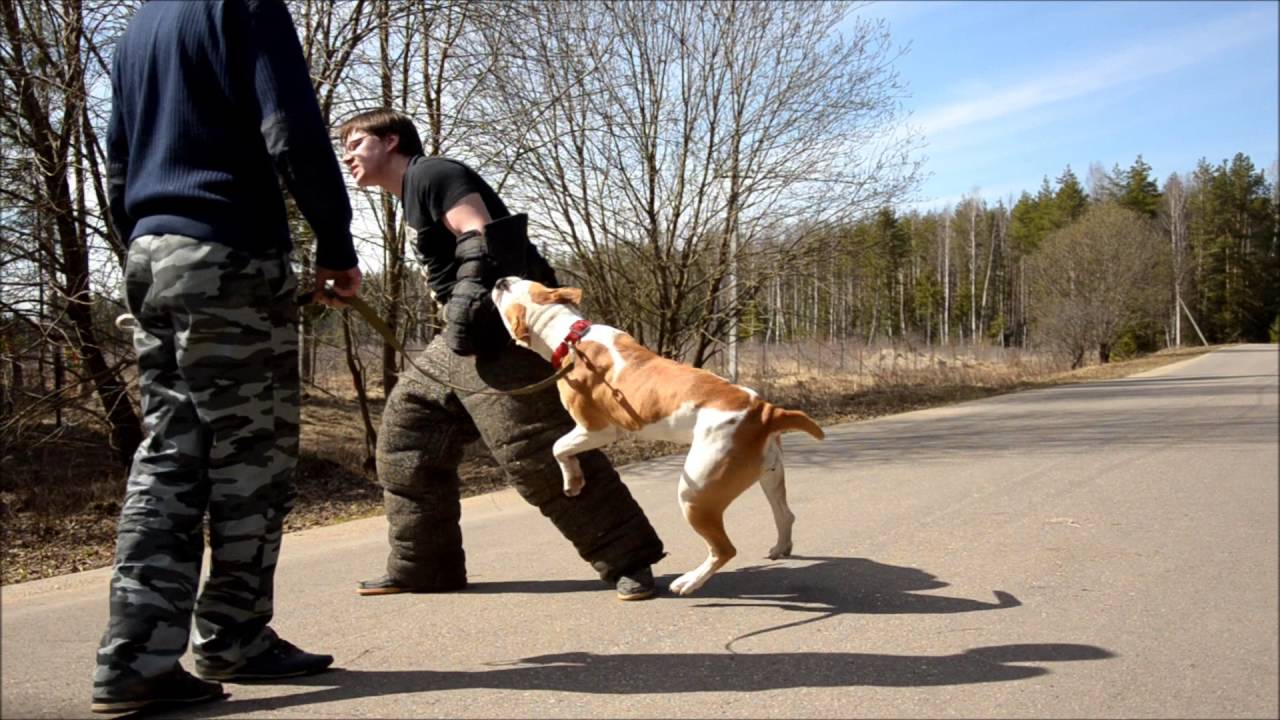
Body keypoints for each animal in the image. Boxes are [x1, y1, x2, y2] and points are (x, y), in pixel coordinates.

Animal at [488, 275, 829, 594]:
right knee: (784, 515)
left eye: (507, 292)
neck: (571, 335)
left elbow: (559, 447)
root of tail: (766, 412)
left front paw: (572, 480)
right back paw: (780, 547)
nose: (499, 279)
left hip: (695, 494)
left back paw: (690, 582)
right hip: (768, 476)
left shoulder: (597, 429)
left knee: (724, 550)